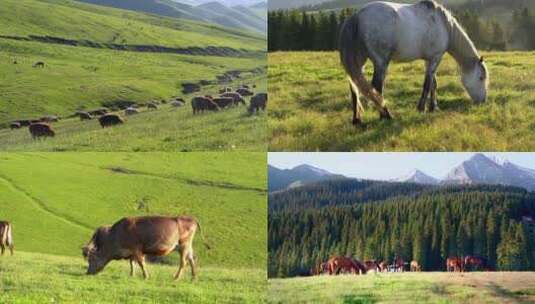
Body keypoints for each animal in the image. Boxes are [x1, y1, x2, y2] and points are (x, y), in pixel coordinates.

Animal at [82, 216, 210, 280]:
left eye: (91, 259)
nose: (88, 272)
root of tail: (190, 218)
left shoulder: (137, 249)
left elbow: (141, 263)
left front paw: (145, 276)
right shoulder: (132, 252)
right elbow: (132, 263)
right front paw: (132, 275)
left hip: (183, 245)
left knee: (184, 262)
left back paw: (176, 277)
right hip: (187, 246)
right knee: (192, 259)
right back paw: (193, 277)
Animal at [340, 0, 490, 125]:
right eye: (481, 77)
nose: (483, 101)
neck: (444, 25)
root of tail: (357, 16)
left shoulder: (429, 60)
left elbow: (433, 83)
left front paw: (434, 107)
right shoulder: (436, 58)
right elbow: (427, 84)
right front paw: (422, 108)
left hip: (360, 62)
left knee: (354, 87)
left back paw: (357, 119)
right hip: (381, 63)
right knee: (376, 88)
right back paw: (386, 115)